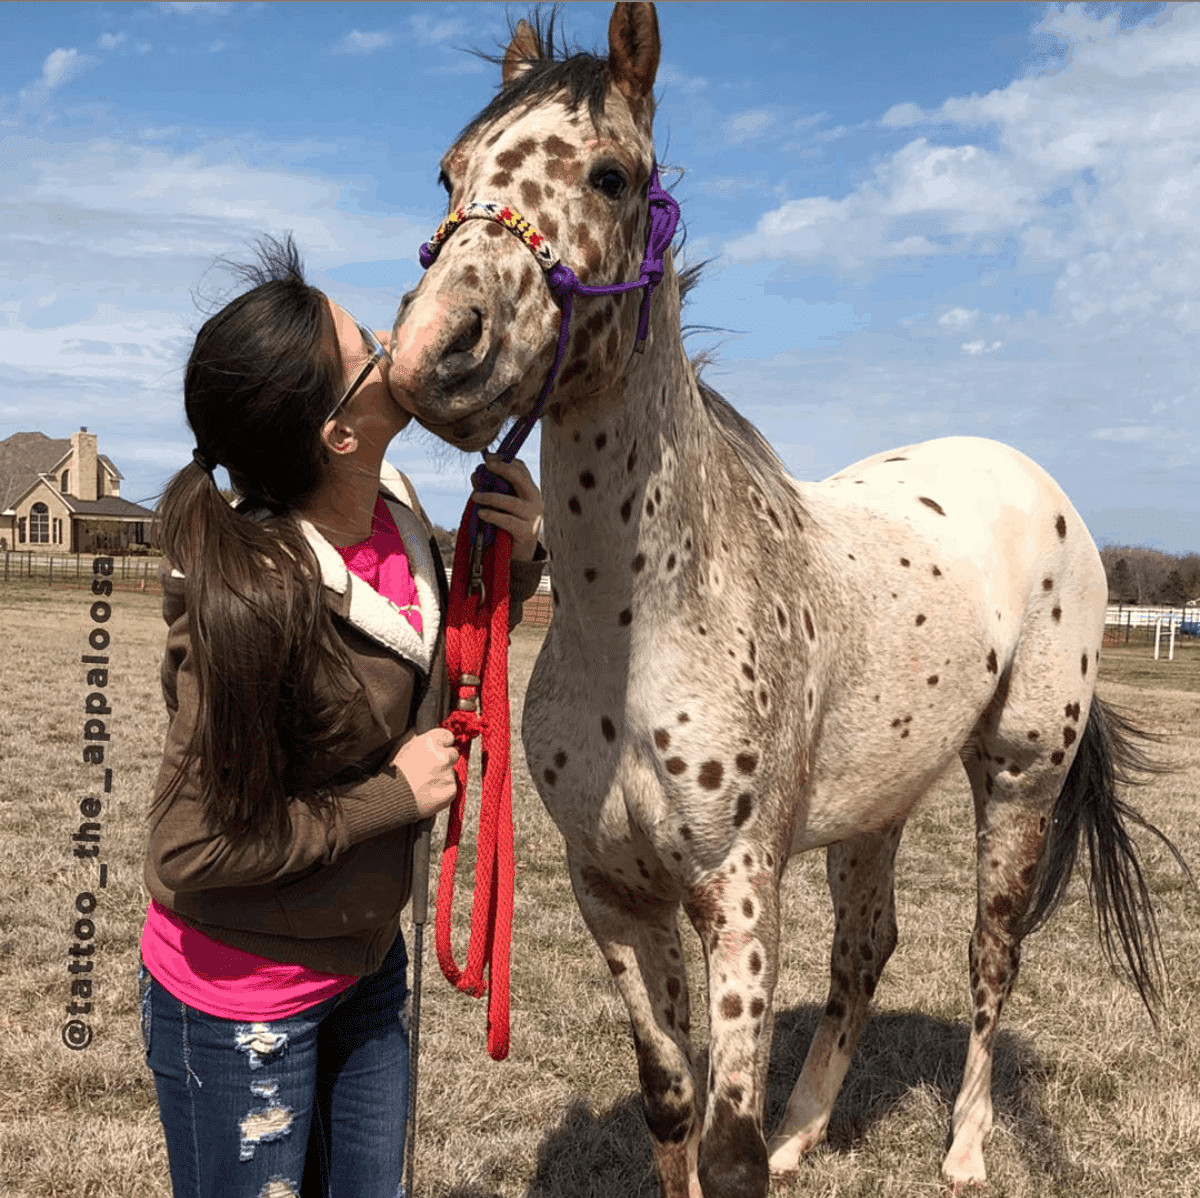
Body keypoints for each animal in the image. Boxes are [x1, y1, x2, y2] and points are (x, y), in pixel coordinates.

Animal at [386, 4, 1190, 1195]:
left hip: (1019, 781)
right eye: (450, 173)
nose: (434, 352)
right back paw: (808, 1126)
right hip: (879, 804)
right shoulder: (612, 892)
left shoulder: (739, 892)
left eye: (614, 176)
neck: (647, 620)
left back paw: (963, 1150)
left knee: (990, 955)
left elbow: (728, 1149)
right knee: (866, 948)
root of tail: (1041, 490)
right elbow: (672, 1103)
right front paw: (752, 1129)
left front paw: (773, 1144)